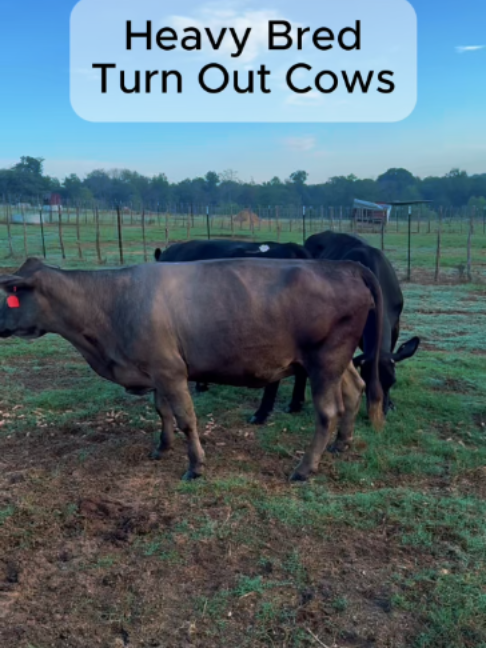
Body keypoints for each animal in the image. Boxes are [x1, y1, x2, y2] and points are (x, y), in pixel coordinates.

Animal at [0, 257, 383, 481]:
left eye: (11, 295)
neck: (111, 303)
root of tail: (344, 267)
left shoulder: (171, 372)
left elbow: (186, 419)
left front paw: (195, 465)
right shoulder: (155, 371)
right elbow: (163, 412)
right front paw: (162, 447)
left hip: (324, 360)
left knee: (327, 411)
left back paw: (305, 468)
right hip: (338, 362)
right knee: (354, 389)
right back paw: (342, 444)